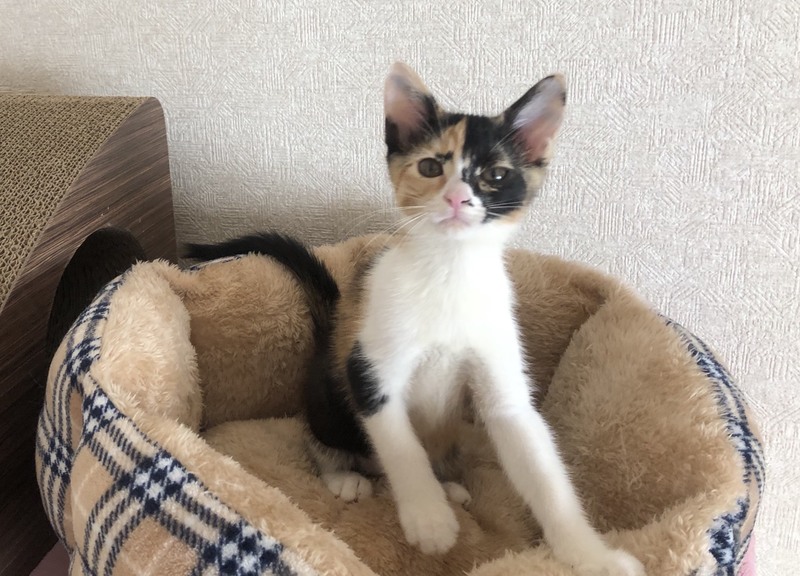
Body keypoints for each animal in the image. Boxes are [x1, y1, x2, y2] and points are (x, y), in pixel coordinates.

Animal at [187, 62, 645, 576]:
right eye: (430, 167)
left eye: (496, 175)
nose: (458, 199)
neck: (448, 270)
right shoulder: (369, 369)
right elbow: (401, 448)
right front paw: (429, 519)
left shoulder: (504, 387)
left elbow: (542, 469)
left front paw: (592, 555)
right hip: (329, 393)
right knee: (321, 436)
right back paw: (343, 474)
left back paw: (447, 485)